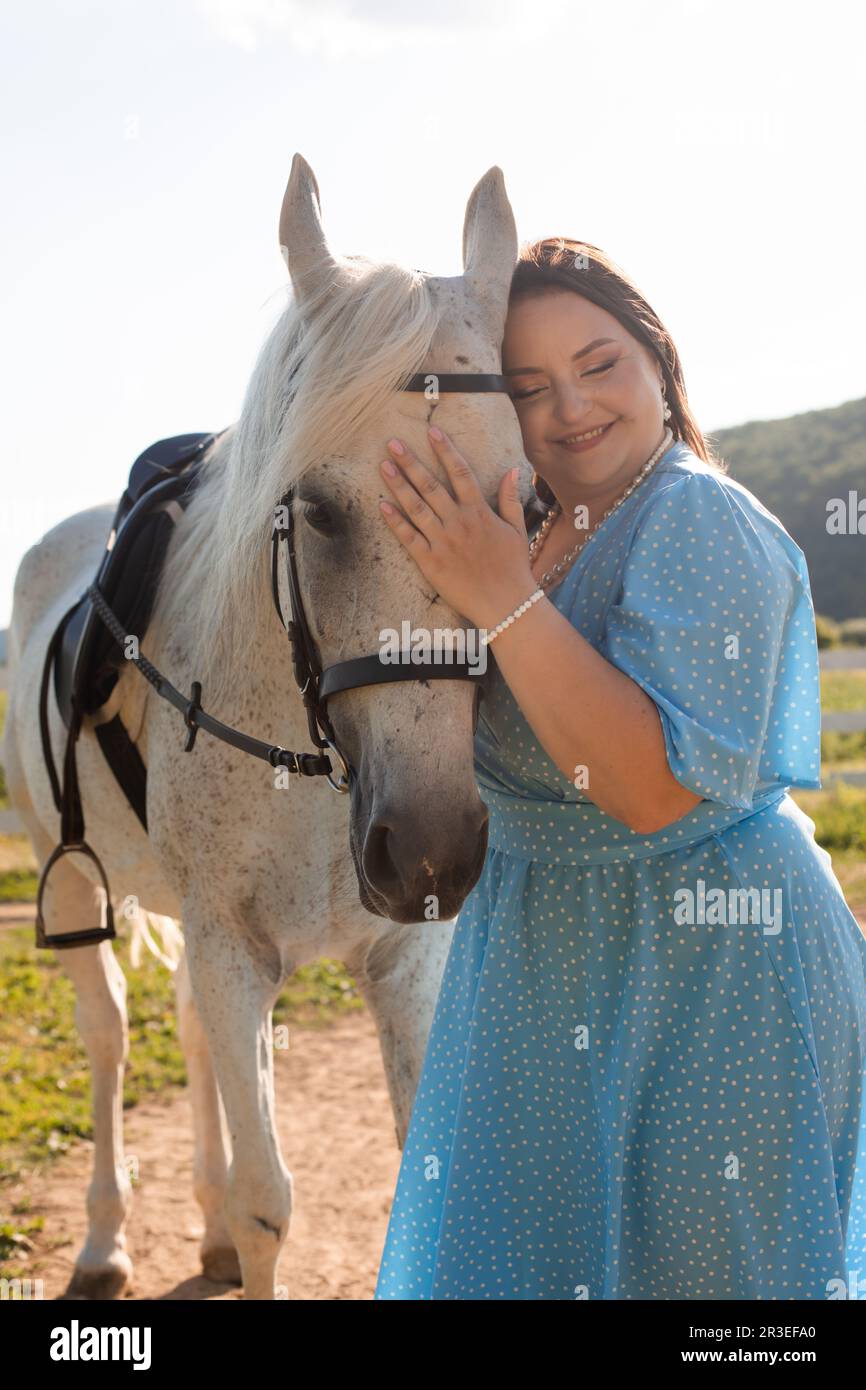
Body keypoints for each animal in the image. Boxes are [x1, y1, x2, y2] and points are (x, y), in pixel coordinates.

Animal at [3, 157, 528, 1295]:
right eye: (318, 509)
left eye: (530, 505)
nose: (429, 846)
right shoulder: (233, 945)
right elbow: (266, 1202)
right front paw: (224, 1220)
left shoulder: (401, 956)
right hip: (69, 881)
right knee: (110, 1036)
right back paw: (106, 1240)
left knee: (190, 1032)